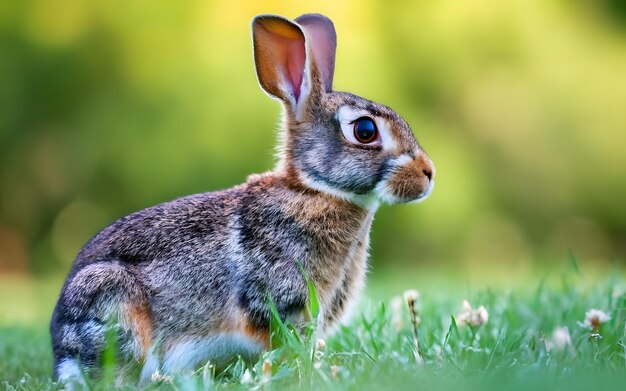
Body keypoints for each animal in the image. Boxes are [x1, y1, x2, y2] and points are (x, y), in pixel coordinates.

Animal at [50, 13, 434, 386]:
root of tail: (61, 354)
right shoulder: (276, 297)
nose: (429, 173)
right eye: (365, 131)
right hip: (113, 302)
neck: (314, 189)